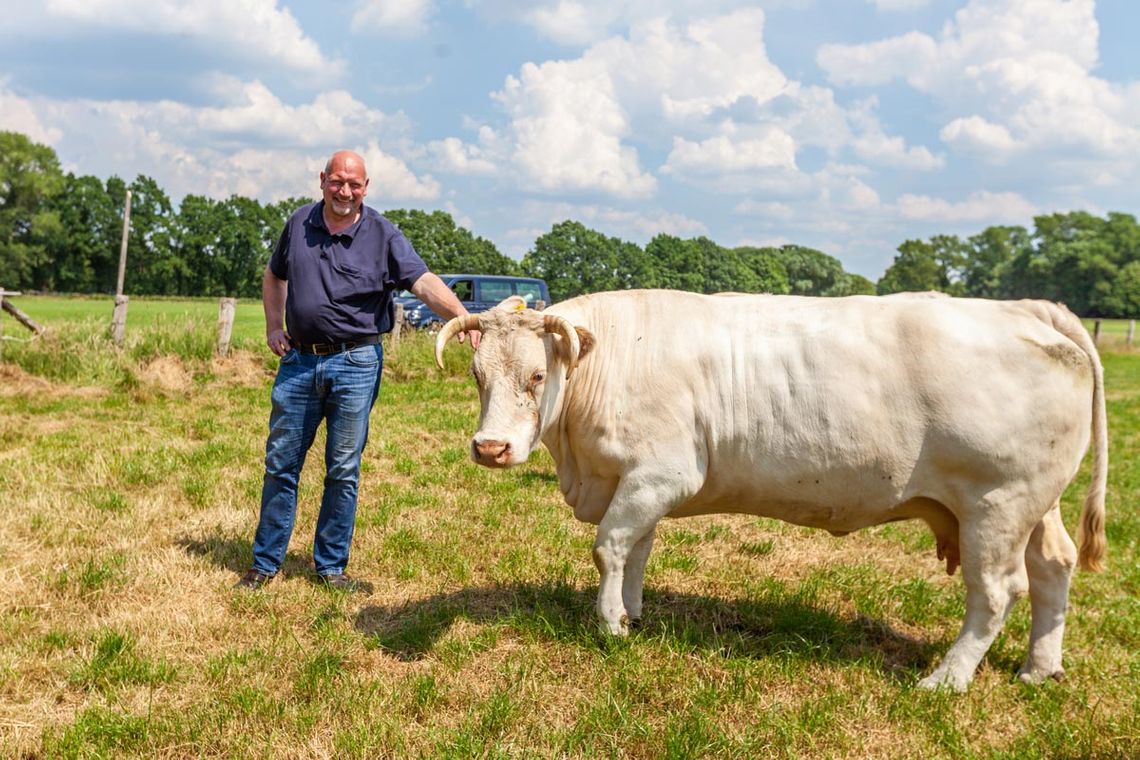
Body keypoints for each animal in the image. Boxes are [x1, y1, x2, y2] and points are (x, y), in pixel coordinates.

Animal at [433, 288, 1103, 692]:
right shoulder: (638, 482)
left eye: (536, 375)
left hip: (997, 505)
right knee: (1053, 568)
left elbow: (609, 548)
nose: (490, 448)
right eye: (476, 374)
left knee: (996, 593)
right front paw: (633, 611)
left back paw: (946, 679)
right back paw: (1040, 668)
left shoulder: (661, 473)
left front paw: (610, 626)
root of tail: (1025, 308)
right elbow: (637, 551)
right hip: (1034, 507)